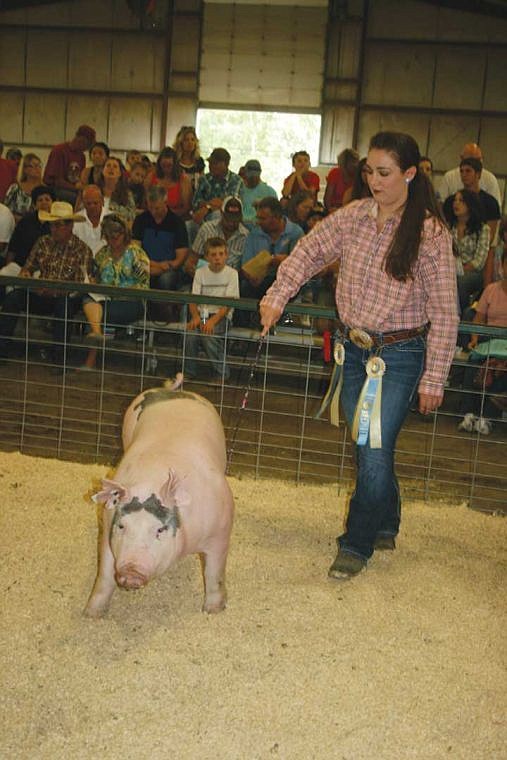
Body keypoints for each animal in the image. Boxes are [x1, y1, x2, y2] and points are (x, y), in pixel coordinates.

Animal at [83, 374, 234, 616]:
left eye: (160, 530)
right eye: (122, 526)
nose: (131, 572)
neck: (151, 481)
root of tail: (174, 391)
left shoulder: (220, 532)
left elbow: (214, 574)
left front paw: (212, 611)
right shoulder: (106, 528)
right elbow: (104, 576)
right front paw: (91, 614)